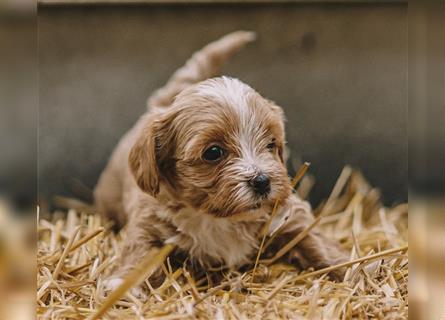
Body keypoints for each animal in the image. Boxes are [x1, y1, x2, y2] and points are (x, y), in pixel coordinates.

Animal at [94, 31, 346, 294]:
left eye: (271, 144)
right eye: (213, 152)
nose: (262, 181)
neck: (220, 219)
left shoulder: (288, 215)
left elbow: (312, 239)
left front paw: (348, 269)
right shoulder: (150, 224)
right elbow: (141, 254)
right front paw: (122, 284)